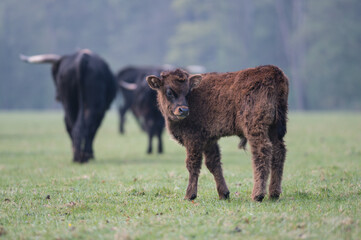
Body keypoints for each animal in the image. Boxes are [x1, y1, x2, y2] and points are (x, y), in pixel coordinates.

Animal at [145, 65, 288, 201]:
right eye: (169, 91)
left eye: (188, 91)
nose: (183, 110)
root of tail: (274, 72)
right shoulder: (209, 139)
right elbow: (213, 164)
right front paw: (224, 193)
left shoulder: (193, 139)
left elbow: (193, 164)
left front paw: (189, 195)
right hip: (274, 129)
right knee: (278, 152)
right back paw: (274, 193)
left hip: (256, 128)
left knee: (262, 152)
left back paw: (258, 195)